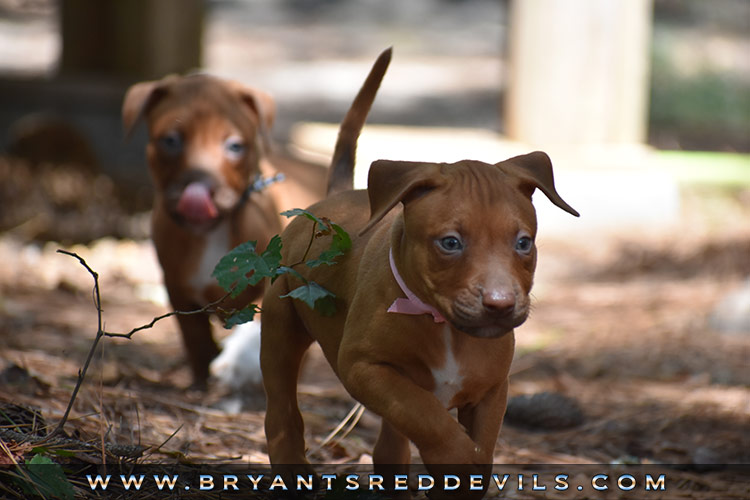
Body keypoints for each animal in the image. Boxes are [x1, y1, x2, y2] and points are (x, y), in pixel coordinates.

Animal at [122, 72, 320, 384]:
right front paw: (202, 380)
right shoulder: (177, 288)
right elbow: (196, 337)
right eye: (170, 140)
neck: (211, 233)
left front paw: (237, 365)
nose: (199, 187)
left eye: (235, 146)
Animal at [262, 86, 580, 496]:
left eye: (523, 243)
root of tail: (331, 199)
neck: (441, 323)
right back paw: (292, 467)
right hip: (281, 327)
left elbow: (472, 440)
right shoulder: (365, 368)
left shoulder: (492, 390)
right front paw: (458, 457)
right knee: (282, 408)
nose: (500, 304)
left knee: (389, 445)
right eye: (450, 243)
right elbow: (425, 415)